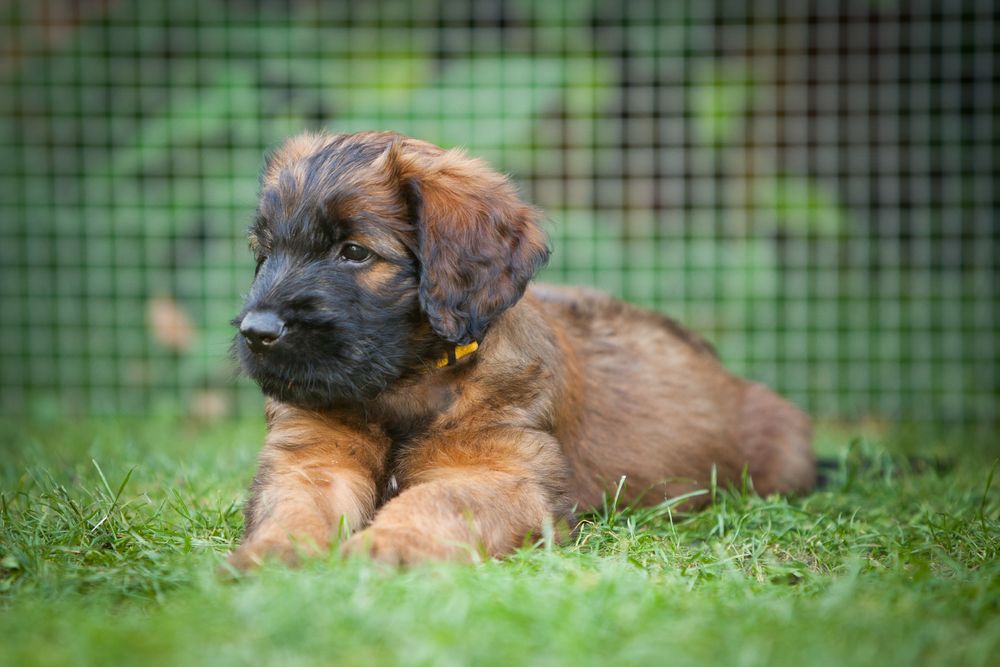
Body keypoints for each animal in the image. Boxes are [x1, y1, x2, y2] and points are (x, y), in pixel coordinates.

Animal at [227, 132, 812, 568]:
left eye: (354, 252)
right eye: (266, 251)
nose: (257, 332)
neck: (404, 385)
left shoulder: (500, 474)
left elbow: (437, 500)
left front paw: (385, 547)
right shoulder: (312, 456)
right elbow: (295, 505)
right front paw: (271, 553)